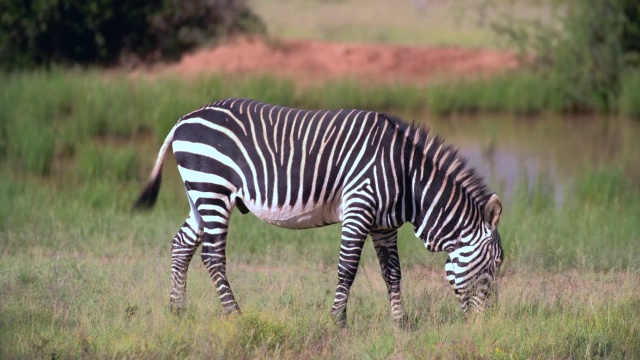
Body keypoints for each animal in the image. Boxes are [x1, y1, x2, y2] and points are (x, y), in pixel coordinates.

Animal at [134, 97, 504, 326]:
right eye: (496, 265)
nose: (484, 324)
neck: (407, 177)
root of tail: (183, 120)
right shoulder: (359, 207)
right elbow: (347, 270)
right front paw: (338, 322)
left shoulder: (384, 225)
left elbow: (393, 273)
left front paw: (401, 324)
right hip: (212, 188)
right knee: (212, 256)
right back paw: (235, 315)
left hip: (200, 194)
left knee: (182, 245)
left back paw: (177, 310)